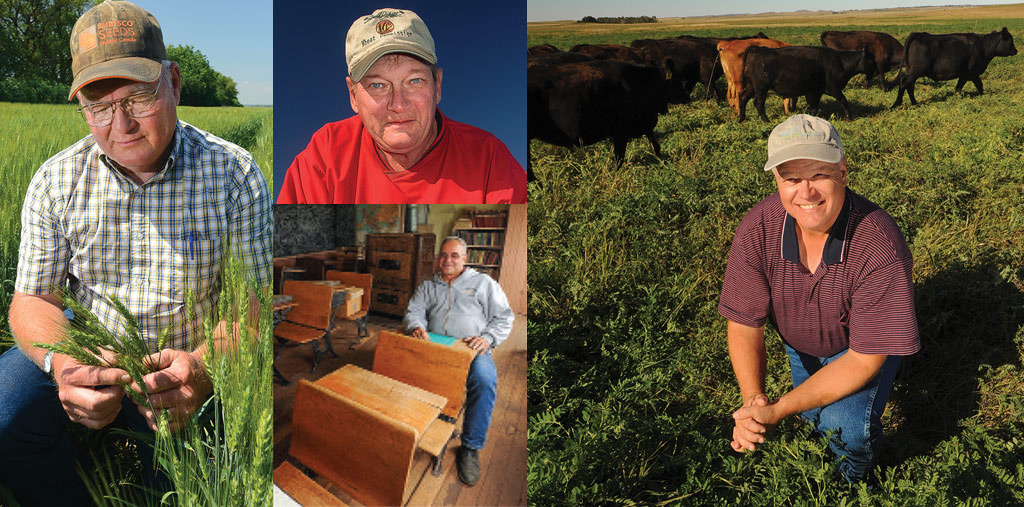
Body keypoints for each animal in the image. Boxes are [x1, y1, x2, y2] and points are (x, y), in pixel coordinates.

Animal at [741, 45, 876, 122]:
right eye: (871, 59)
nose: (877, 70)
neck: (840, 62)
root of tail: (757, 49)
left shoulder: (816, 91)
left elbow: (814, 107)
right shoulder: (834, 88)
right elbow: (843, 100)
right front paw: (850, 118)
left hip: (752, 86)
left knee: (743, 98)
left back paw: (742, 119)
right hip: (761, 87)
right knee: (758, 102)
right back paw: (766, 120)